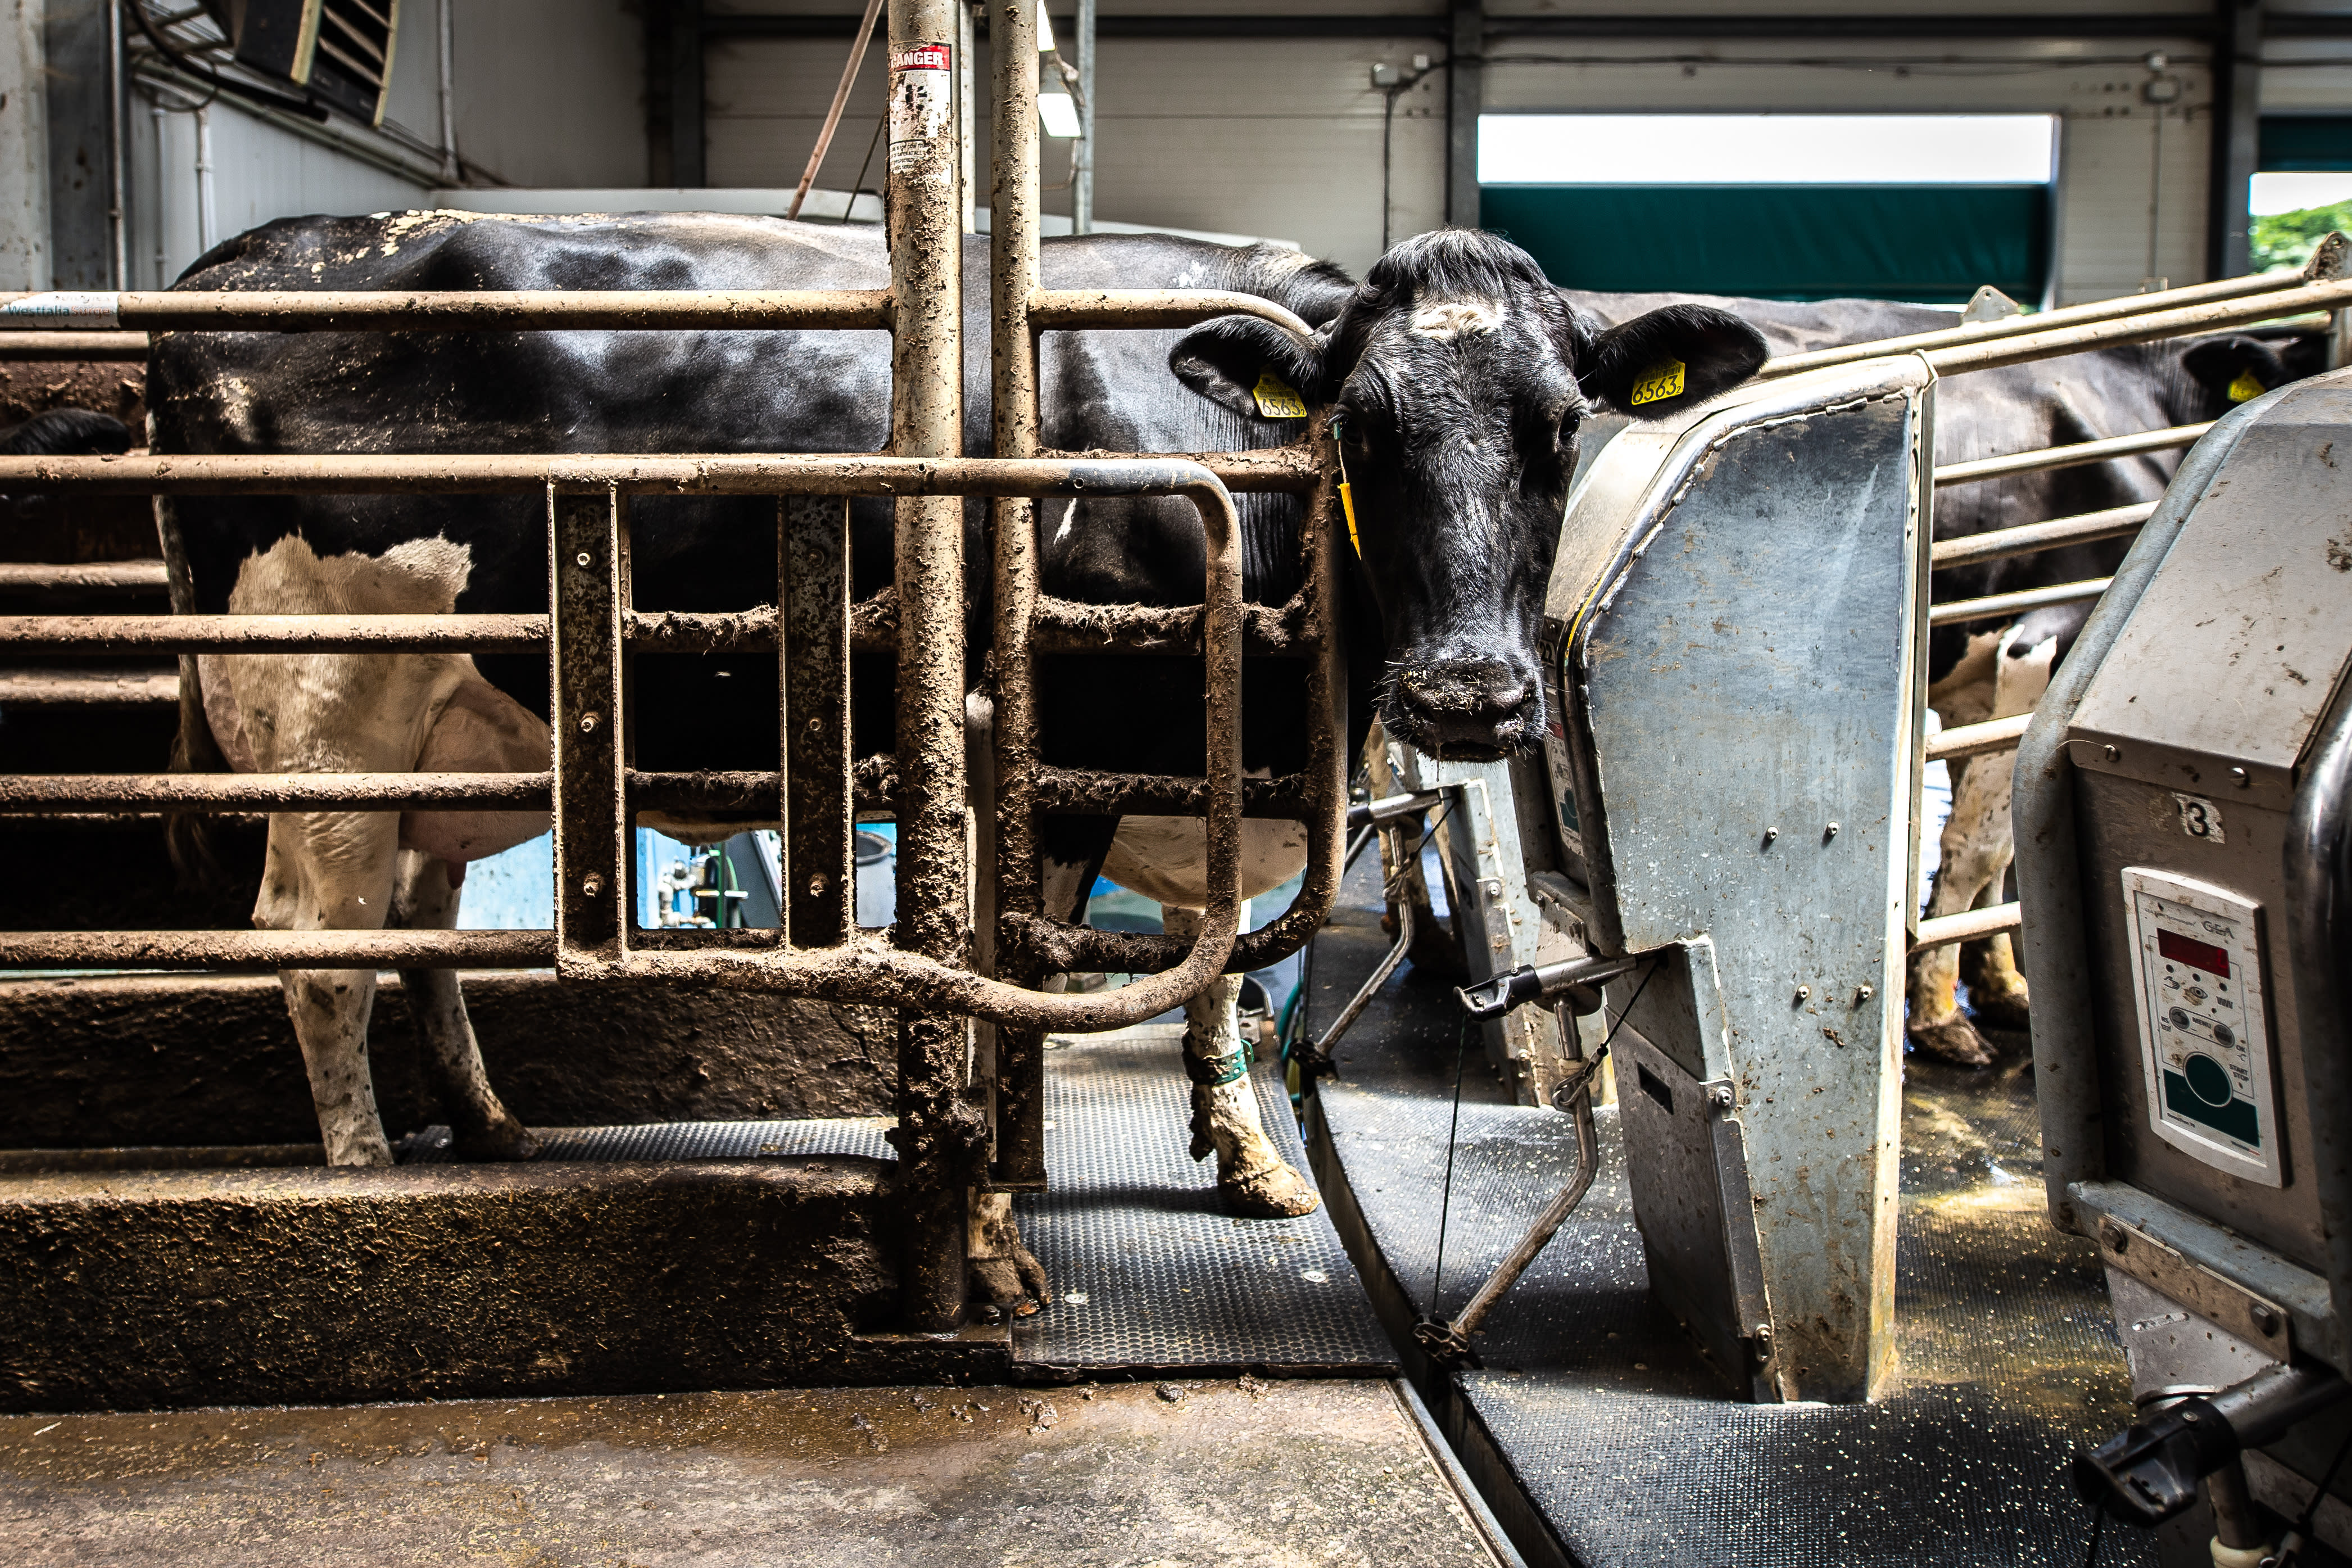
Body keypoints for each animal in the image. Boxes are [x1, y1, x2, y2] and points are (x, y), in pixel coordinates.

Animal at [151, 217, 1769, 1279]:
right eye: (1360, 431)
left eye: (1560, 428)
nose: (1469, 696)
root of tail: (245, 261)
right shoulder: (1065, 766)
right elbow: (1031, 979)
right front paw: (991, 1223)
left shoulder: (1203, 762)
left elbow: (1218, 968)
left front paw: (1247, 1160)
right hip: (332, 694)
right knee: (317, 945)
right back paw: (362, 1182)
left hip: (461, 727)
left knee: (417, 920)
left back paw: (486, 1128)